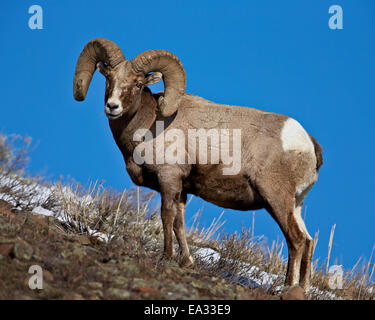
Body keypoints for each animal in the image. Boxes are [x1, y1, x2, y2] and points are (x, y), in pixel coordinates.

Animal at [72, 38, 324, 292]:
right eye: (109, 77)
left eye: (138, 83)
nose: (112, 106)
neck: (147, 125)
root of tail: (308, 144)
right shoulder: (182, 190)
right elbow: (179, 224)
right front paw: (186, 262)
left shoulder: (169, 178)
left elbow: (167, 216)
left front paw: (167, 257)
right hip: (295, 204)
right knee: (309, 241)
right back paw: (301, 289)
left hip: (276, 198)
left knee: (296, 239)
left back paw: (286, 288)